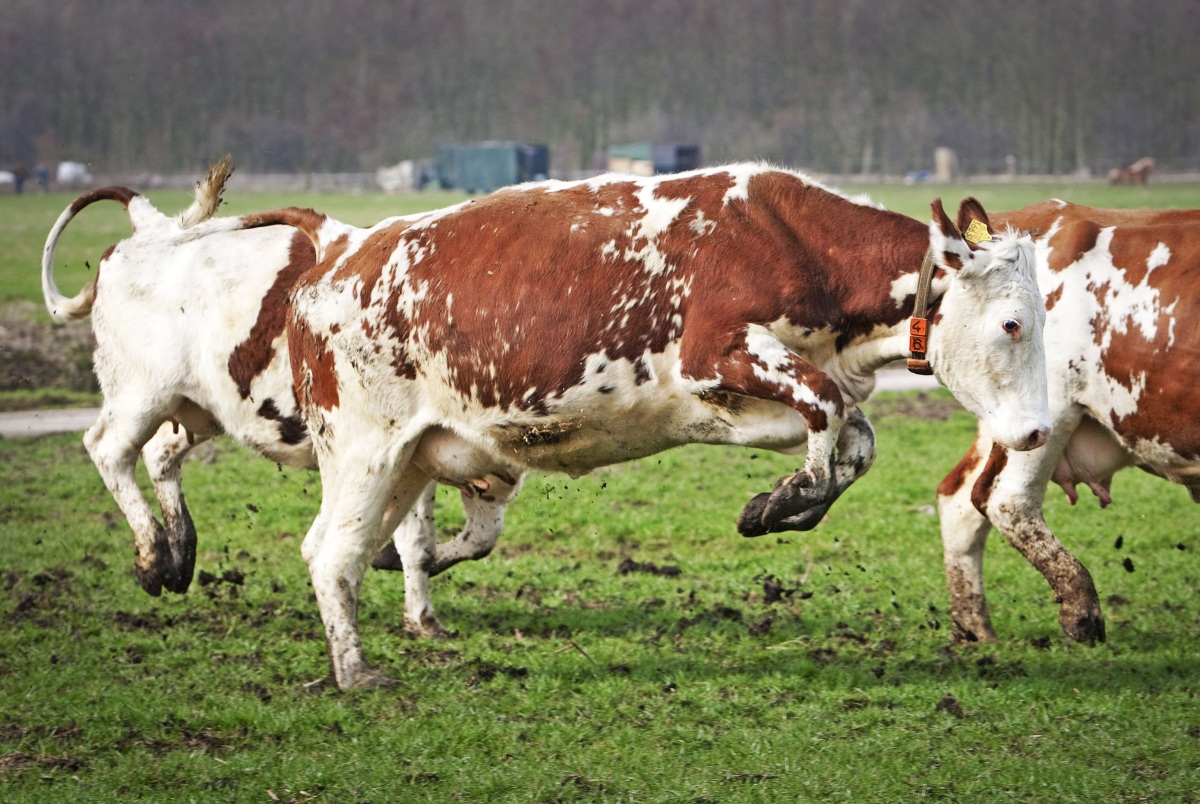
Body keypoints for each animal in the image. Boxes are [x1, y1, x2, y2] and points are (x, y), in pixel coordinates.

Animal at [42, 159, 506, 638]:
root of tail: (152, 226)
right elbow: (420, 540)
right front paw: (418, 613)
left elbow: (471, 538)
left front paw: (420, 611)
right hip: (139, 394)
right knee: (108, 450)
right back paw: (153, 559)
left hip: (200, 408)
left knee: (158, 453)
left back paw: (181, 555)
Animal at [204, 165, 1051, 691]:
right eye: (1013, 323)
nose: (1040, 431)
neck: (788, 239)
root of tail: (336, 260)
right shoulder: (718, 352)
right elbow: (825, 409)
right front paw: (789, 496)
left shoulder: (748, 398)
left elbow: (855, 437)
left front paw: (778, 503)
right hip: (364, 448)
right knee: (331, 555)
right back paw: (355, 673)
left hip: (410, 457)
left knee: (368, 548)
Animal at [936, 202, 1200, 648]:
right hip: (1047, 414)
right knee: (1007, 499)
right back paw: (1082, 612)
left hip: (1005, 422)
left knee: (958, 501)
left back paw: (974, 630)